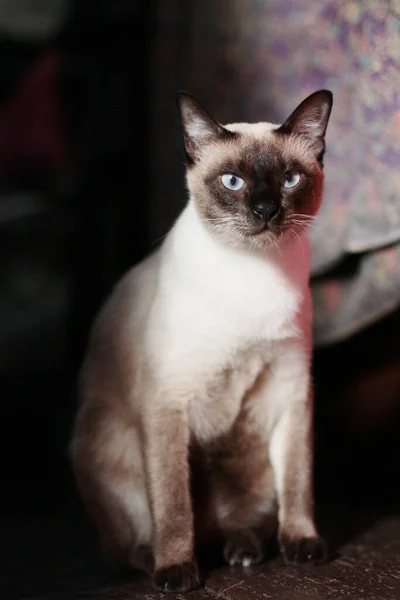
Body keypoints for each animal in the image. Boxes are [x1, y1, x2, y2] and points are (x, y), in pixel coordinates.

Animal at [70, 89, 332, 592]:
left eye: (290, 179)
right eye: (232, 182)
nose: (266, 211)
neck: (254, 274)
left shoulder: (291, 388)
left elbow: (299, 482)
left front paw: (303, 545)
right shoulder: (168, 400)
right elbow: (173, 505)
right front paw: (176, 572)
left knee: (237, 521)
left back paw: (243, 551)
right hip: (111, 442)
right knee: (136, 539)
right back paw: (155, 560)